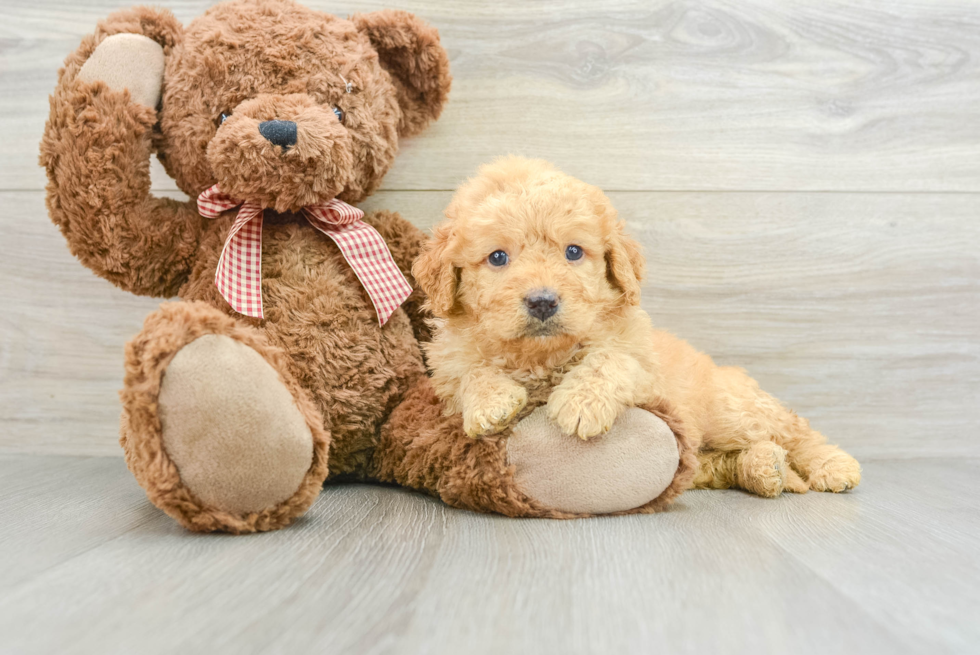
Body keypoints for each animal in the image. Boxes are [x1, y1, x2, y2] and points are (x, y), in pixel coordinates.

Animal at [412, 158, 856, 498]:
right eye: (498, 257)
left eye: (573, 251)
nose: (542, 301)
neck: (542, 355)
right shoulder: (447, 365)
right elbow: (469, 372)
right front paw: (492, 402)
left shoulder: (645, 366)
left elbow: (611, 358)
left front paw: (580, 404)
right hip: (706, 453)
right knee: (721, 461)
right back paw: (766, 469)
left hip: (731, 411)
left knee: (793, 430)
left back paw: (833, 465)